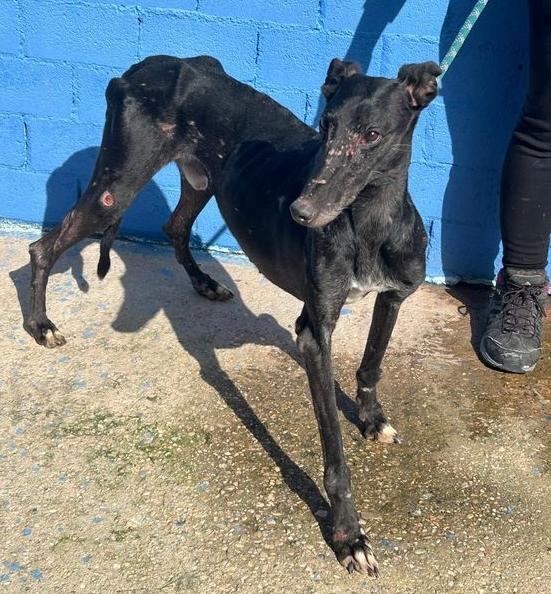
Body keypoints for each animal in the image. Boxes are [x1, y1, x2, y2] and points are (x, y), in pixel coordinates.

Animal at [27, 55, 441, 576]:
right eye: (325, 125)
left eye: (371, 134)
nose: (301, 212)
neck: (367, 221)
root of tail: (148, 65)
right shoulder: (314, 331)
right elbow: (334, 454)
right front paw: (349, 536)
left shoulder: (393, 298)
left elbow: (371, 365)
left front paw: (370, 419)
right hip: (115, 187)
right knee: (43, 247)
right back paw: (40, 325)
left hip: (202, 180)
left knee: (174, 226)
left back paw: (204, 282)